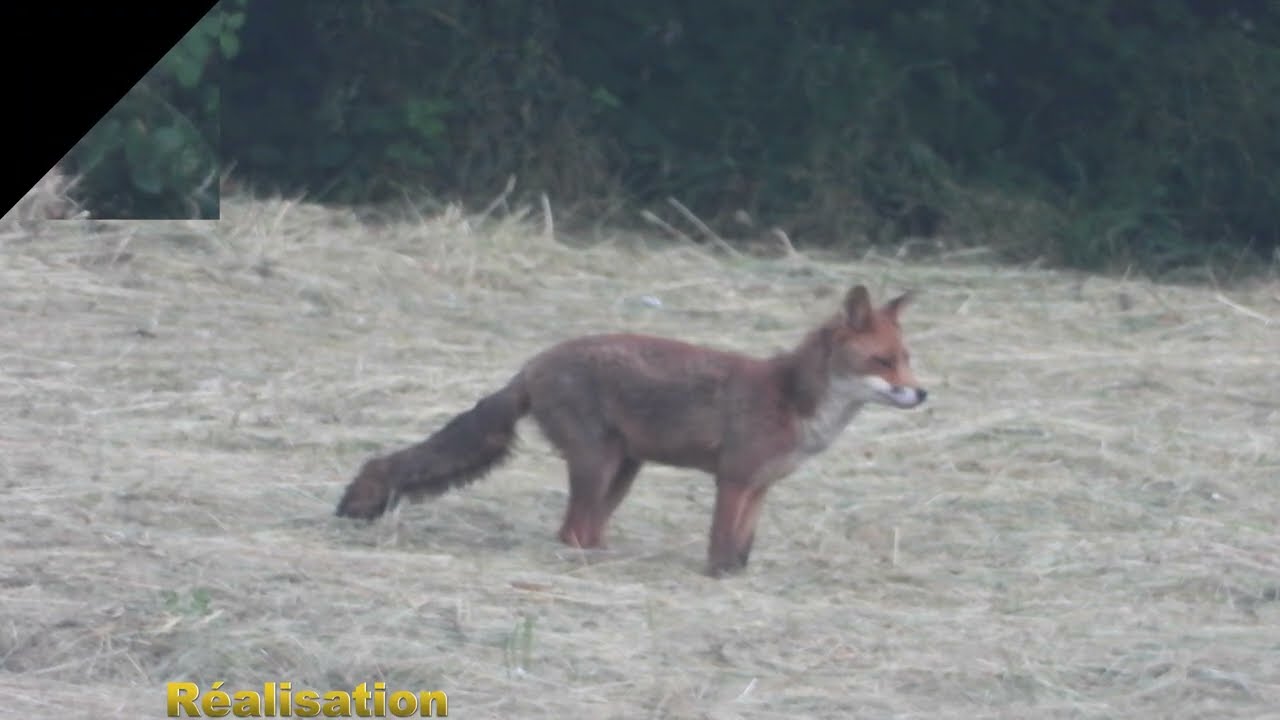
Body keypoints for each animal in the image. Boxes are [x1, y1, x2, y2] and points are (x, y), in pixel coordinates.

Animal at [335, 283, 927, 577]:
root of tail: (531, 365)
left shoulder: (759, 486)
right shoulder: (734, 480)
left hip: (624, 470)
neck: (794, 401)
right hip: (599, 466)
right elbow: (720, 544)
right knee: (572, 532)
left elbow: (742, 548)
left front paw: (738, 577)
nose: (922, 394)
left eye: (906, 360)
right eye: (882, 362)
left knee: (585, 531)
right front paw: (714, 579)